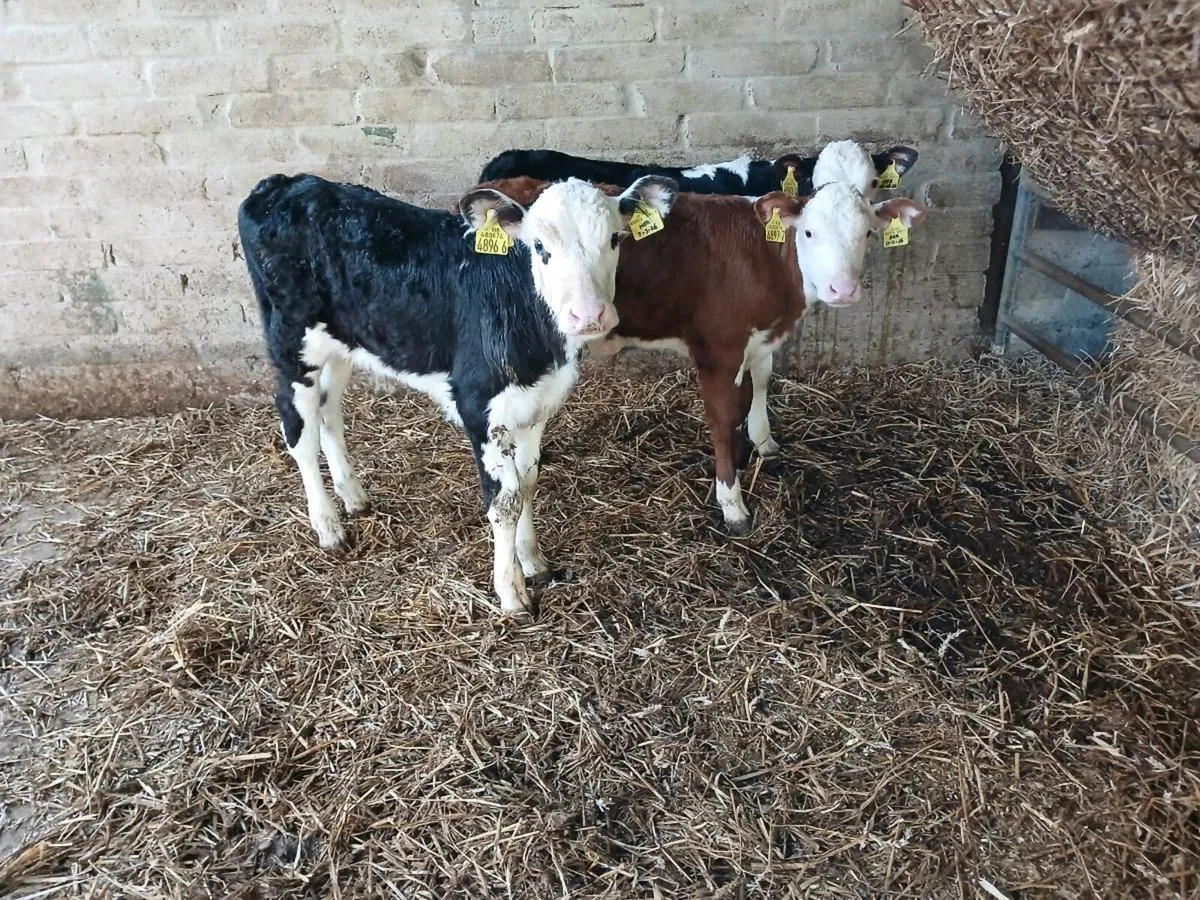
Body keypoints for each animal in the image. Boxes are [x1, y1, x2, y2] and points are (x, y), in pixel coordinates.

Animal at [238, 171, 678, 615]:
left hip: (342, 341)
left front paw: (533, 562)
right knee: (298, 428)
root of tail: (285, 183)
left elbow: (528, 482)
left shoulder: (537, 403)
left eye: (615, 239)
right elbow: (506, 499)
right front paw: (511, 592)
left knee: (329, 412)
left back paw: (354, 497)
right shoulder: (480, 405)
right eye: (539, 247)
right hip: (291, 341)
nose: (588, 316)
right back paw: (328, 527)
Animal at [472, 141, 927, 533]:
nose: (842, 289)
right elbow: (723, 418)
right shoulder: (718, 348)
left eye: (867, 229)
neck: (765, 254)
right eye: (810, 231)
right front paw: (732, 503)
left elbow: (756, 387)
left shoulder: (756, 337)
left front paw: (756, 448)